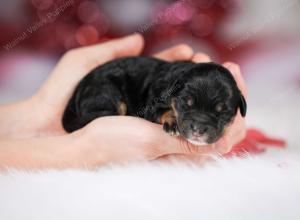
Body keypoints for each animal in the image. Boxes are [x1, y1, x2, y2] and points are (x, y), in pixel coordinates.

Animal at [62, 56, 246, 145]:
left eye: (222, 112)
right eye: (186, 103)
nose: (198, 129)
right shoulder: (152, 105)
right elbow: (165, 111)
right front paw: (173, 123)